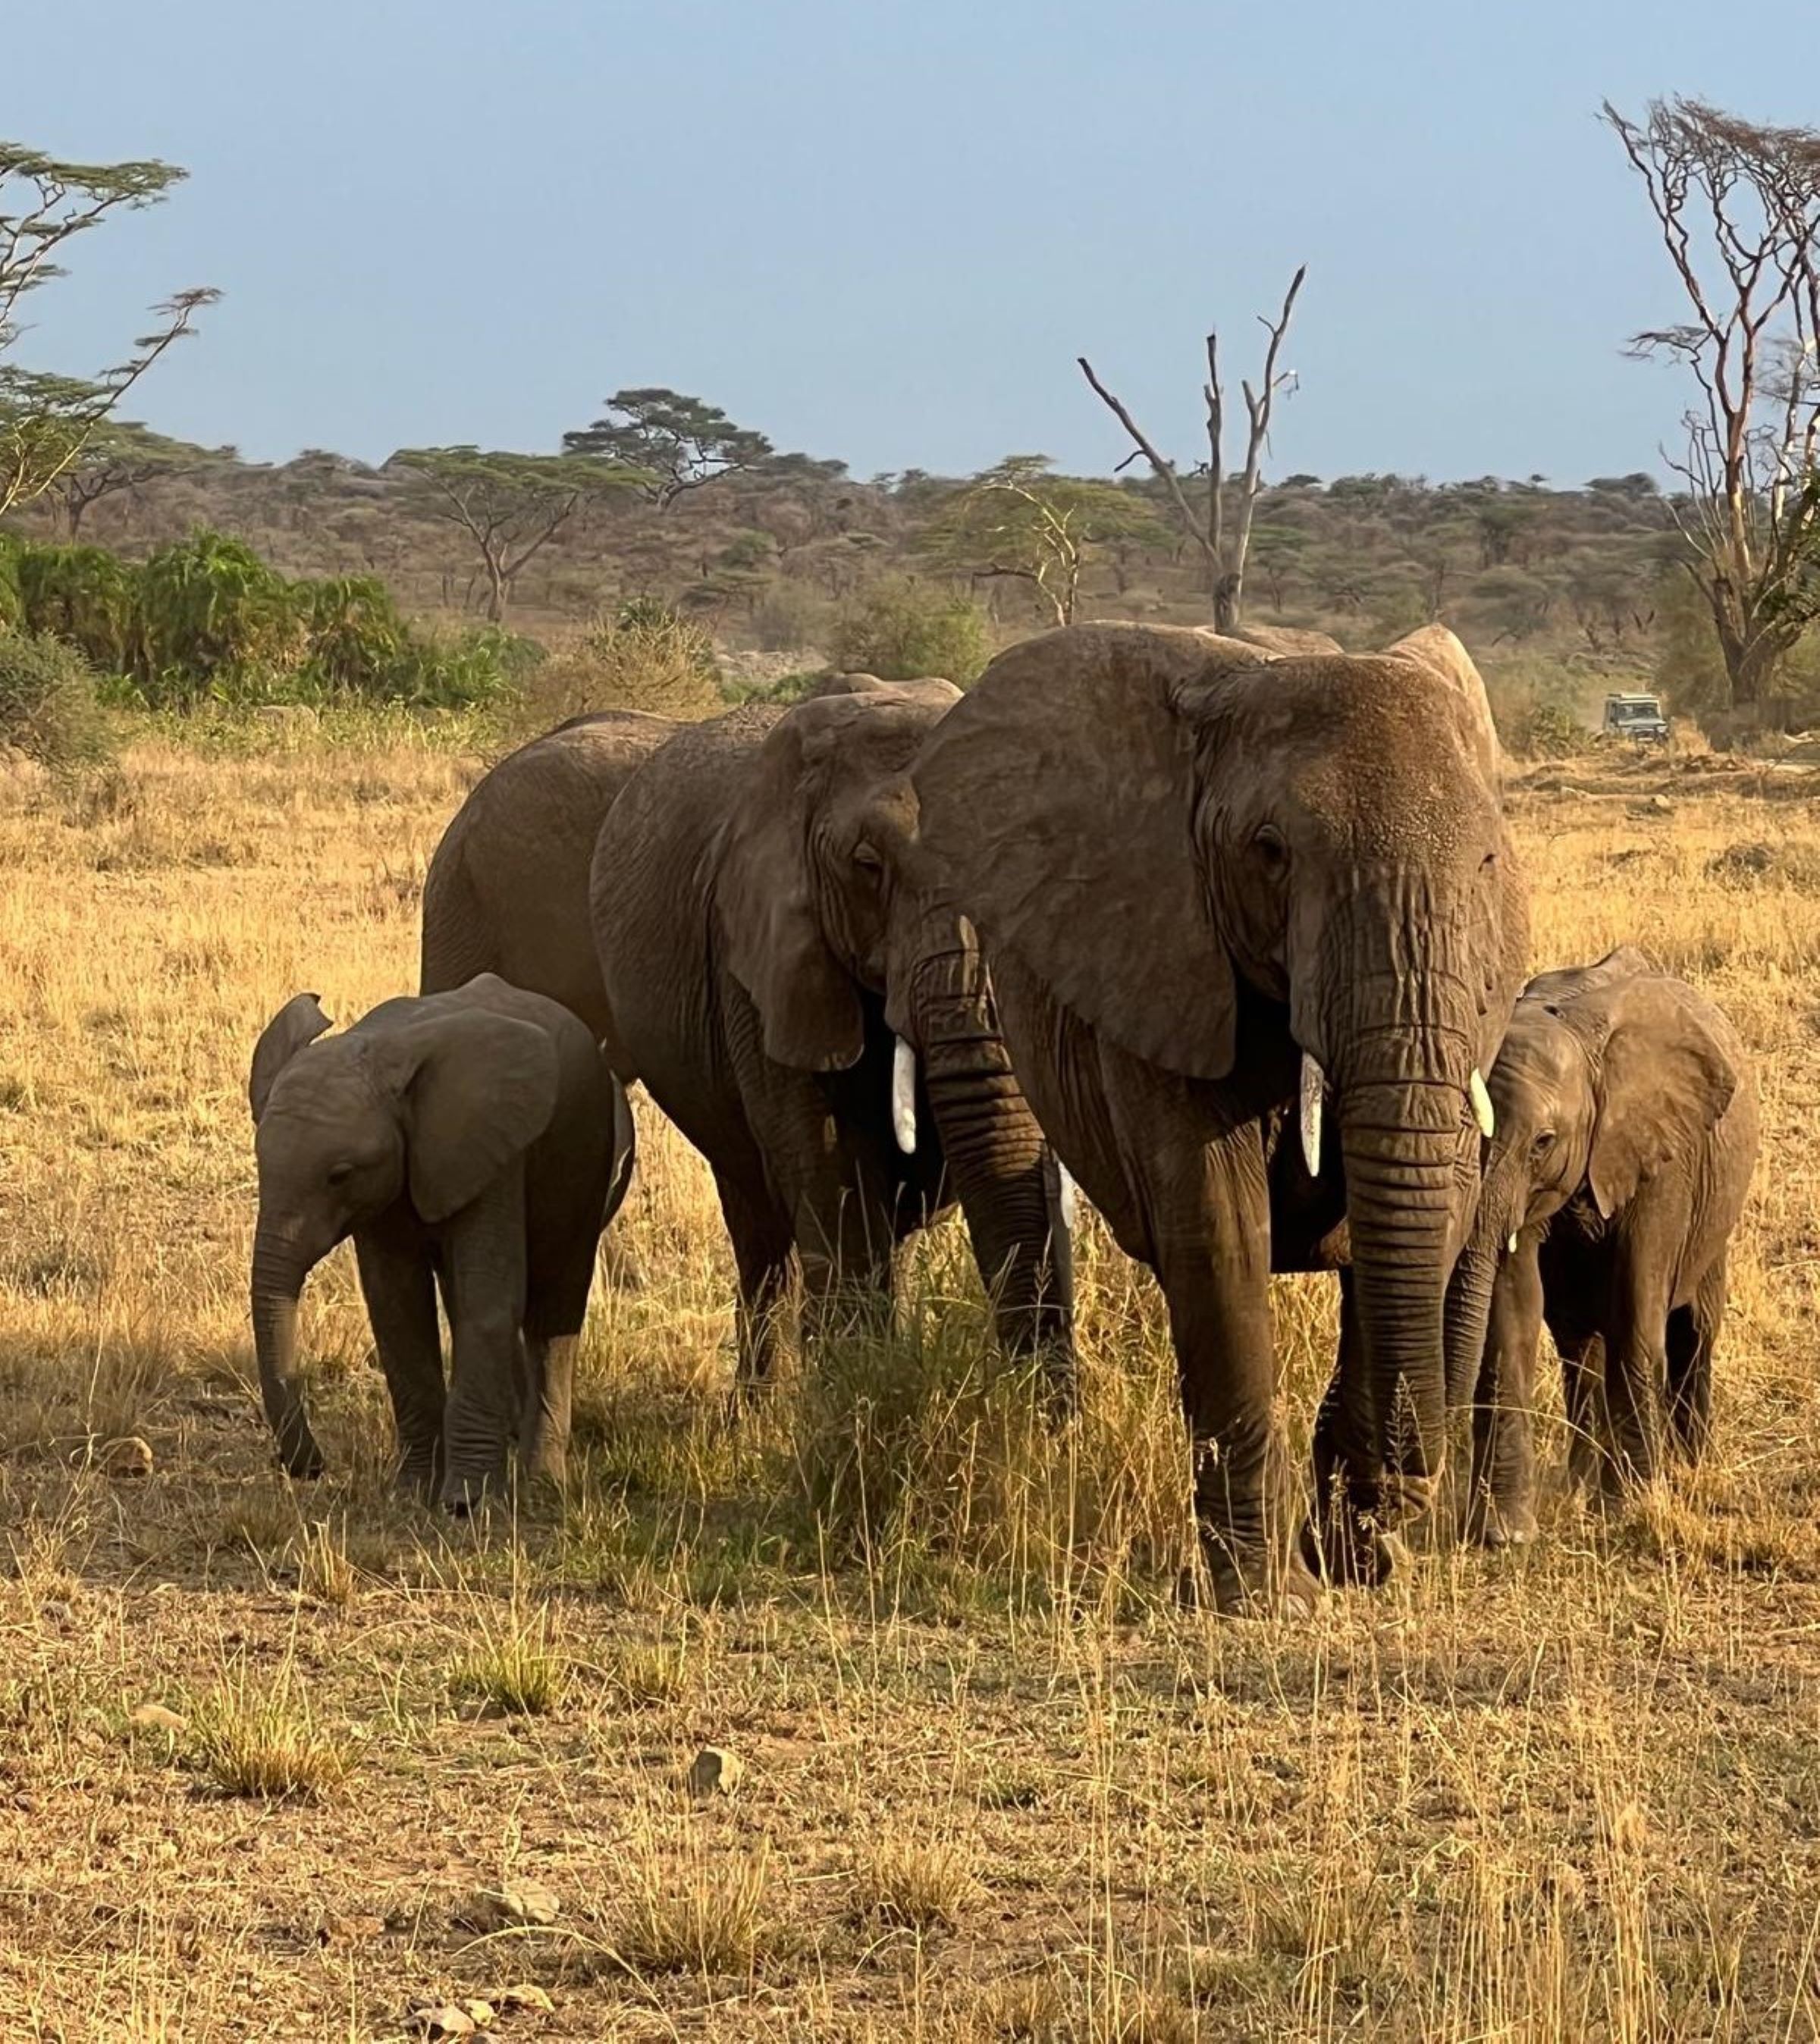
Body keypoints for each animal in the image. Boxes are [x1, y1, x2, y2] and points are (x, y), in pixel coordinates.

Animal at [247, 974, 635, 1509]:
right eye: (260, 1165)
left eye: (339, 1175)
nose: (310, 1468)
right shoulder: (390, 1185)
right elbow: (396, 1307)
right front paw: (412, 1494)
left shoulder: (493, 1152)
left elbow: (487, 1299)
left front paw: (466, 1505)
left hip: (583, 1154)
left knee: (556, 1298)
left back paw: (542, 1482)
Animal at [589, 680, 1075, 1389]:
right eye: (867, 866)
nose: (1047, 1409)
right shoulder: (759, 959)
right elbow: (830, 1173)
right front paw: (858, 1389)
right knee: (761, 1227)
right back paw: (761, 1404)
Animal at [909, 622, 1528, 1611]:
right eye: (1270, 851)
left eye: (1488, 862)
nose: (1414, 1482)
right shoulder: (1160, 950)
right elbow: (1219, 1228)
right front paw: (1270, 1596)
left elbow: (1407, 1214)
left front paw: (1354, 1556)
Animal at [1443, 948, 1758, 1543]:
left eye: (1543, 1142)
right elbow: (1514, 1312)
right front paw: (1505, 1534)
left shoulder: (1664, 1158)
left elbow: (1637, 1313)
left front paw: (1631, 1506)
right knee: (1578, 1343)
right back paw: (1579, 1486)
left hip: (1716, 1213)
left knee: (1695, 1331)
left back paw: (1689, 1468)